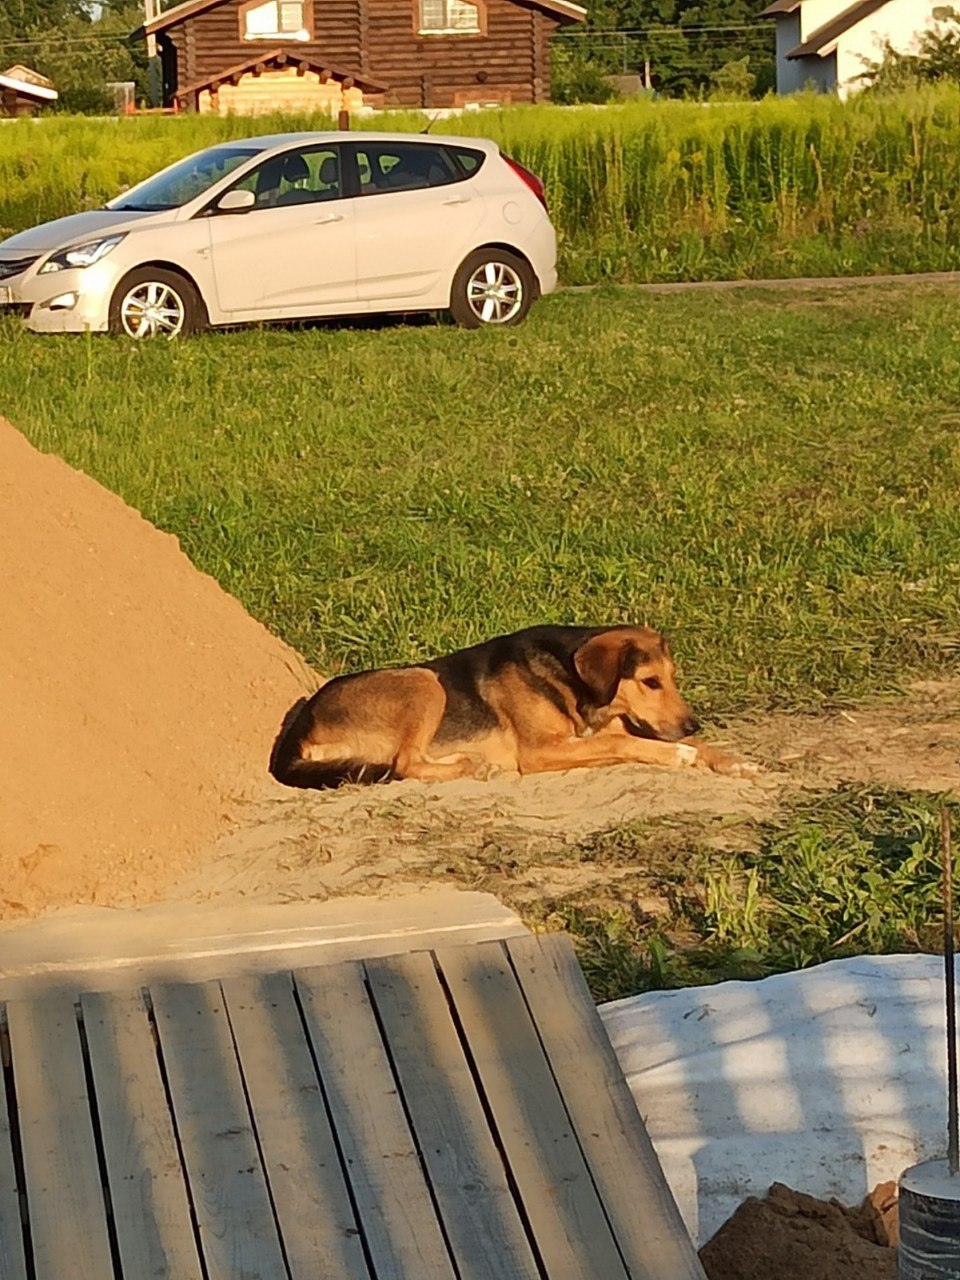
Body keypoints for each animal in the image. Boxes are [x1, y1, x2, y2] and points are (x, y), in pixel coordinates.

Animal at [268, 622, 752, 788]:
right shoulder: (541, 751)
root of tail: (299, 728)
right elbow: (627, 746)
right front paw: (679, 754)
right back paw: (471, 766)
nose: (692, 725)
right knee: (405, 764)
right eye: (650, 682)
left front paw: (733, 760)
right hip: (425, 681)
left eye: (673, 678)